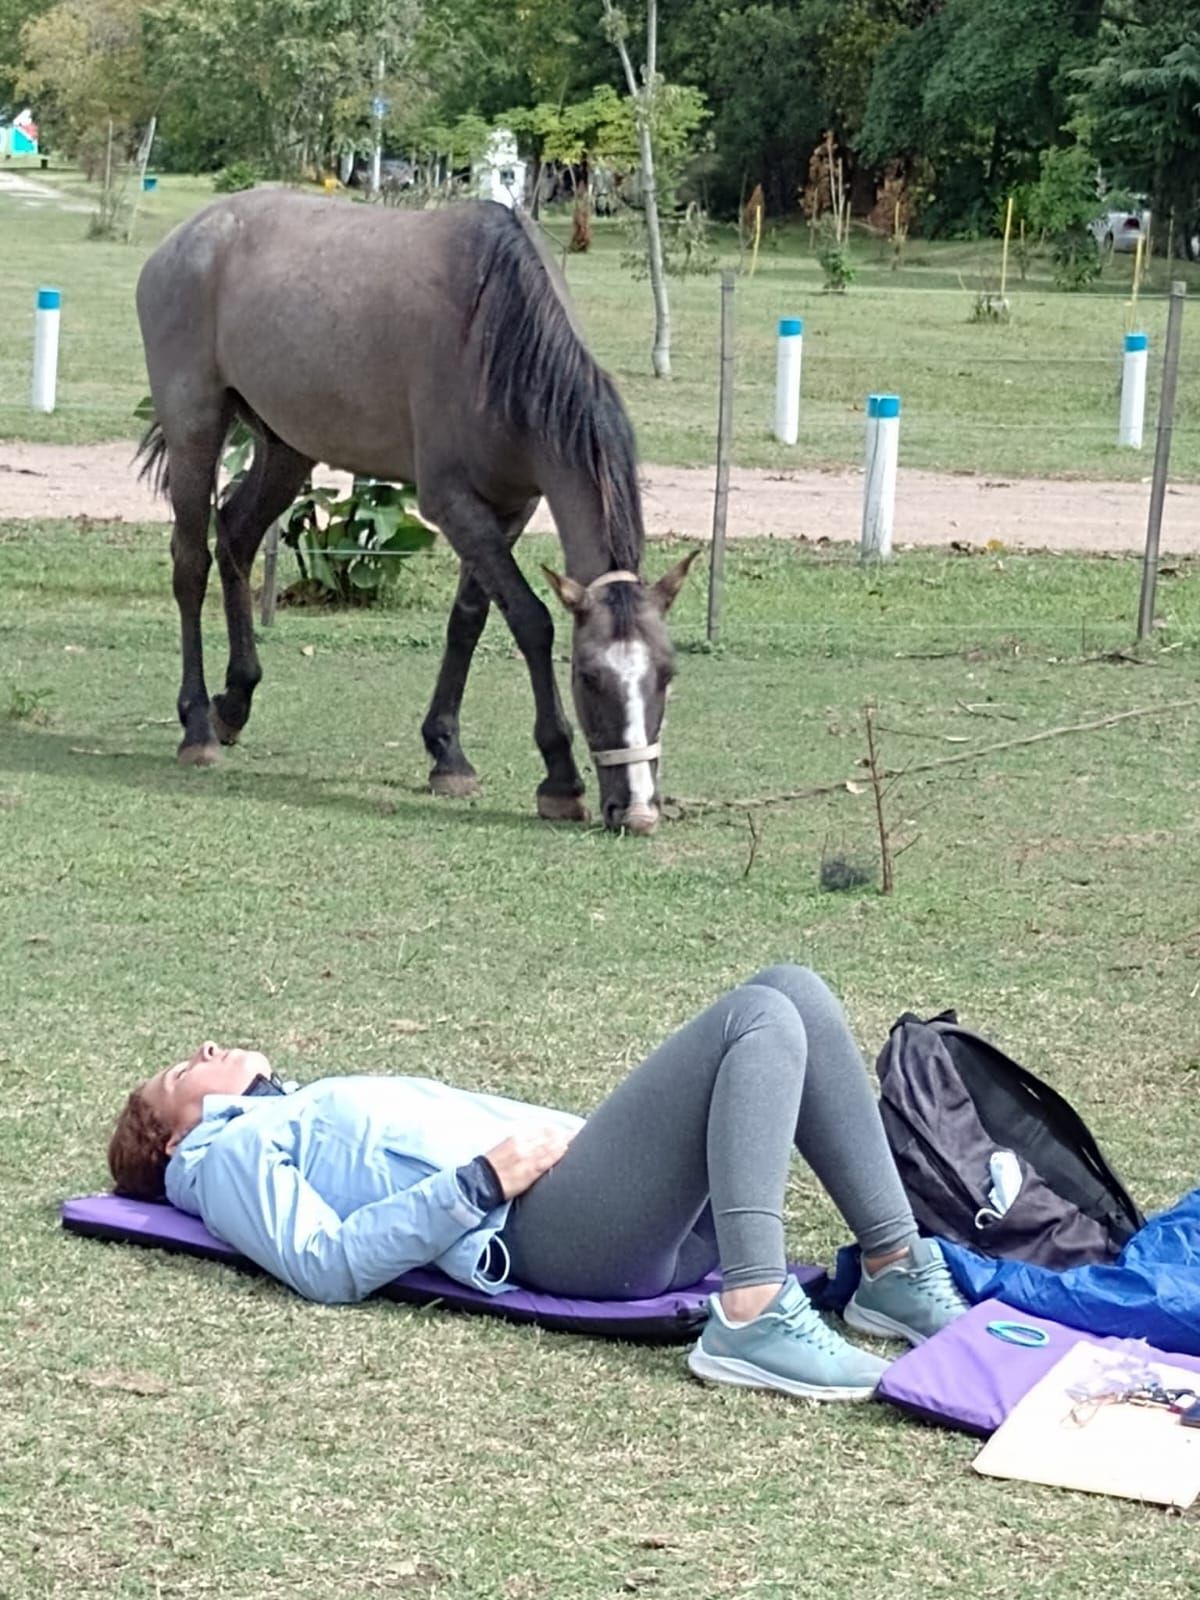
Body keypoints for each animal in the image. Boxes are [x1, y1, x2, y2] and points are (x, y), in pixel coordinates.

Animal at [135, 192, 698, 834]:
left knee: (236, 535)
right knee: (190, 564)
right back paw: (198, 725)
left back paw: (235, 702)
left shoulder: (512, 506)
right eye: (588, 676)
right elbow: (530, 620)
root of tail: (186, 238)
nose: (638, 810)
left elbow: (469, 620)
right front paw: (559, 777)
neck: (495, 329)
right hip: (195, 428)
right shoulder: (453, 503)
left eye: (667, 673)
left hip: (286, 446)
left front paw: (447, 752)